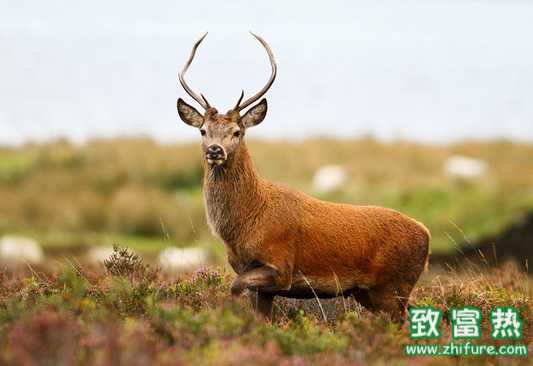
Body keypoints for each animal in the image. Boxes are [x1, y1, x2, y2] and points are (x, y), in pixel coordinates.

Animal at [177, 33, 430, 322]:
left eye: (237, 131)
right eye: (203, 130)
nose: (215, 150)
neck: (245, 223)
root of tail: (426, 234)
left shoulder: (281, 266)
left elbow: (234, 286)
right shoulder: (255, 279)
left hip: (393, 286)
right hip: (370, 293)